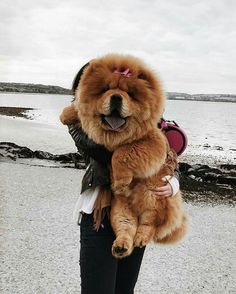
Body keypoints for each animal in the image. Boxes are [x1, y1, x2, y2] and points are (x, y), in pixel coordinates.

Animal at [60, 54, 188, 258]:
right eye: (105, 89)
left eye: (130, 93)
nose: (116, 97)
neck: (115, 135)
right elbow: (81, 111)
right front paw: (67, 113)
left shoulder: (153, 141)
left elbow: (122, 153)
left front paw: (121, 179)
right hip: (120, 208)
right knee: (126, 227)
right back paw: (121, 246)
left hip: (153, 197)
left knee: (150, 224)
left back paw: (141, 238)